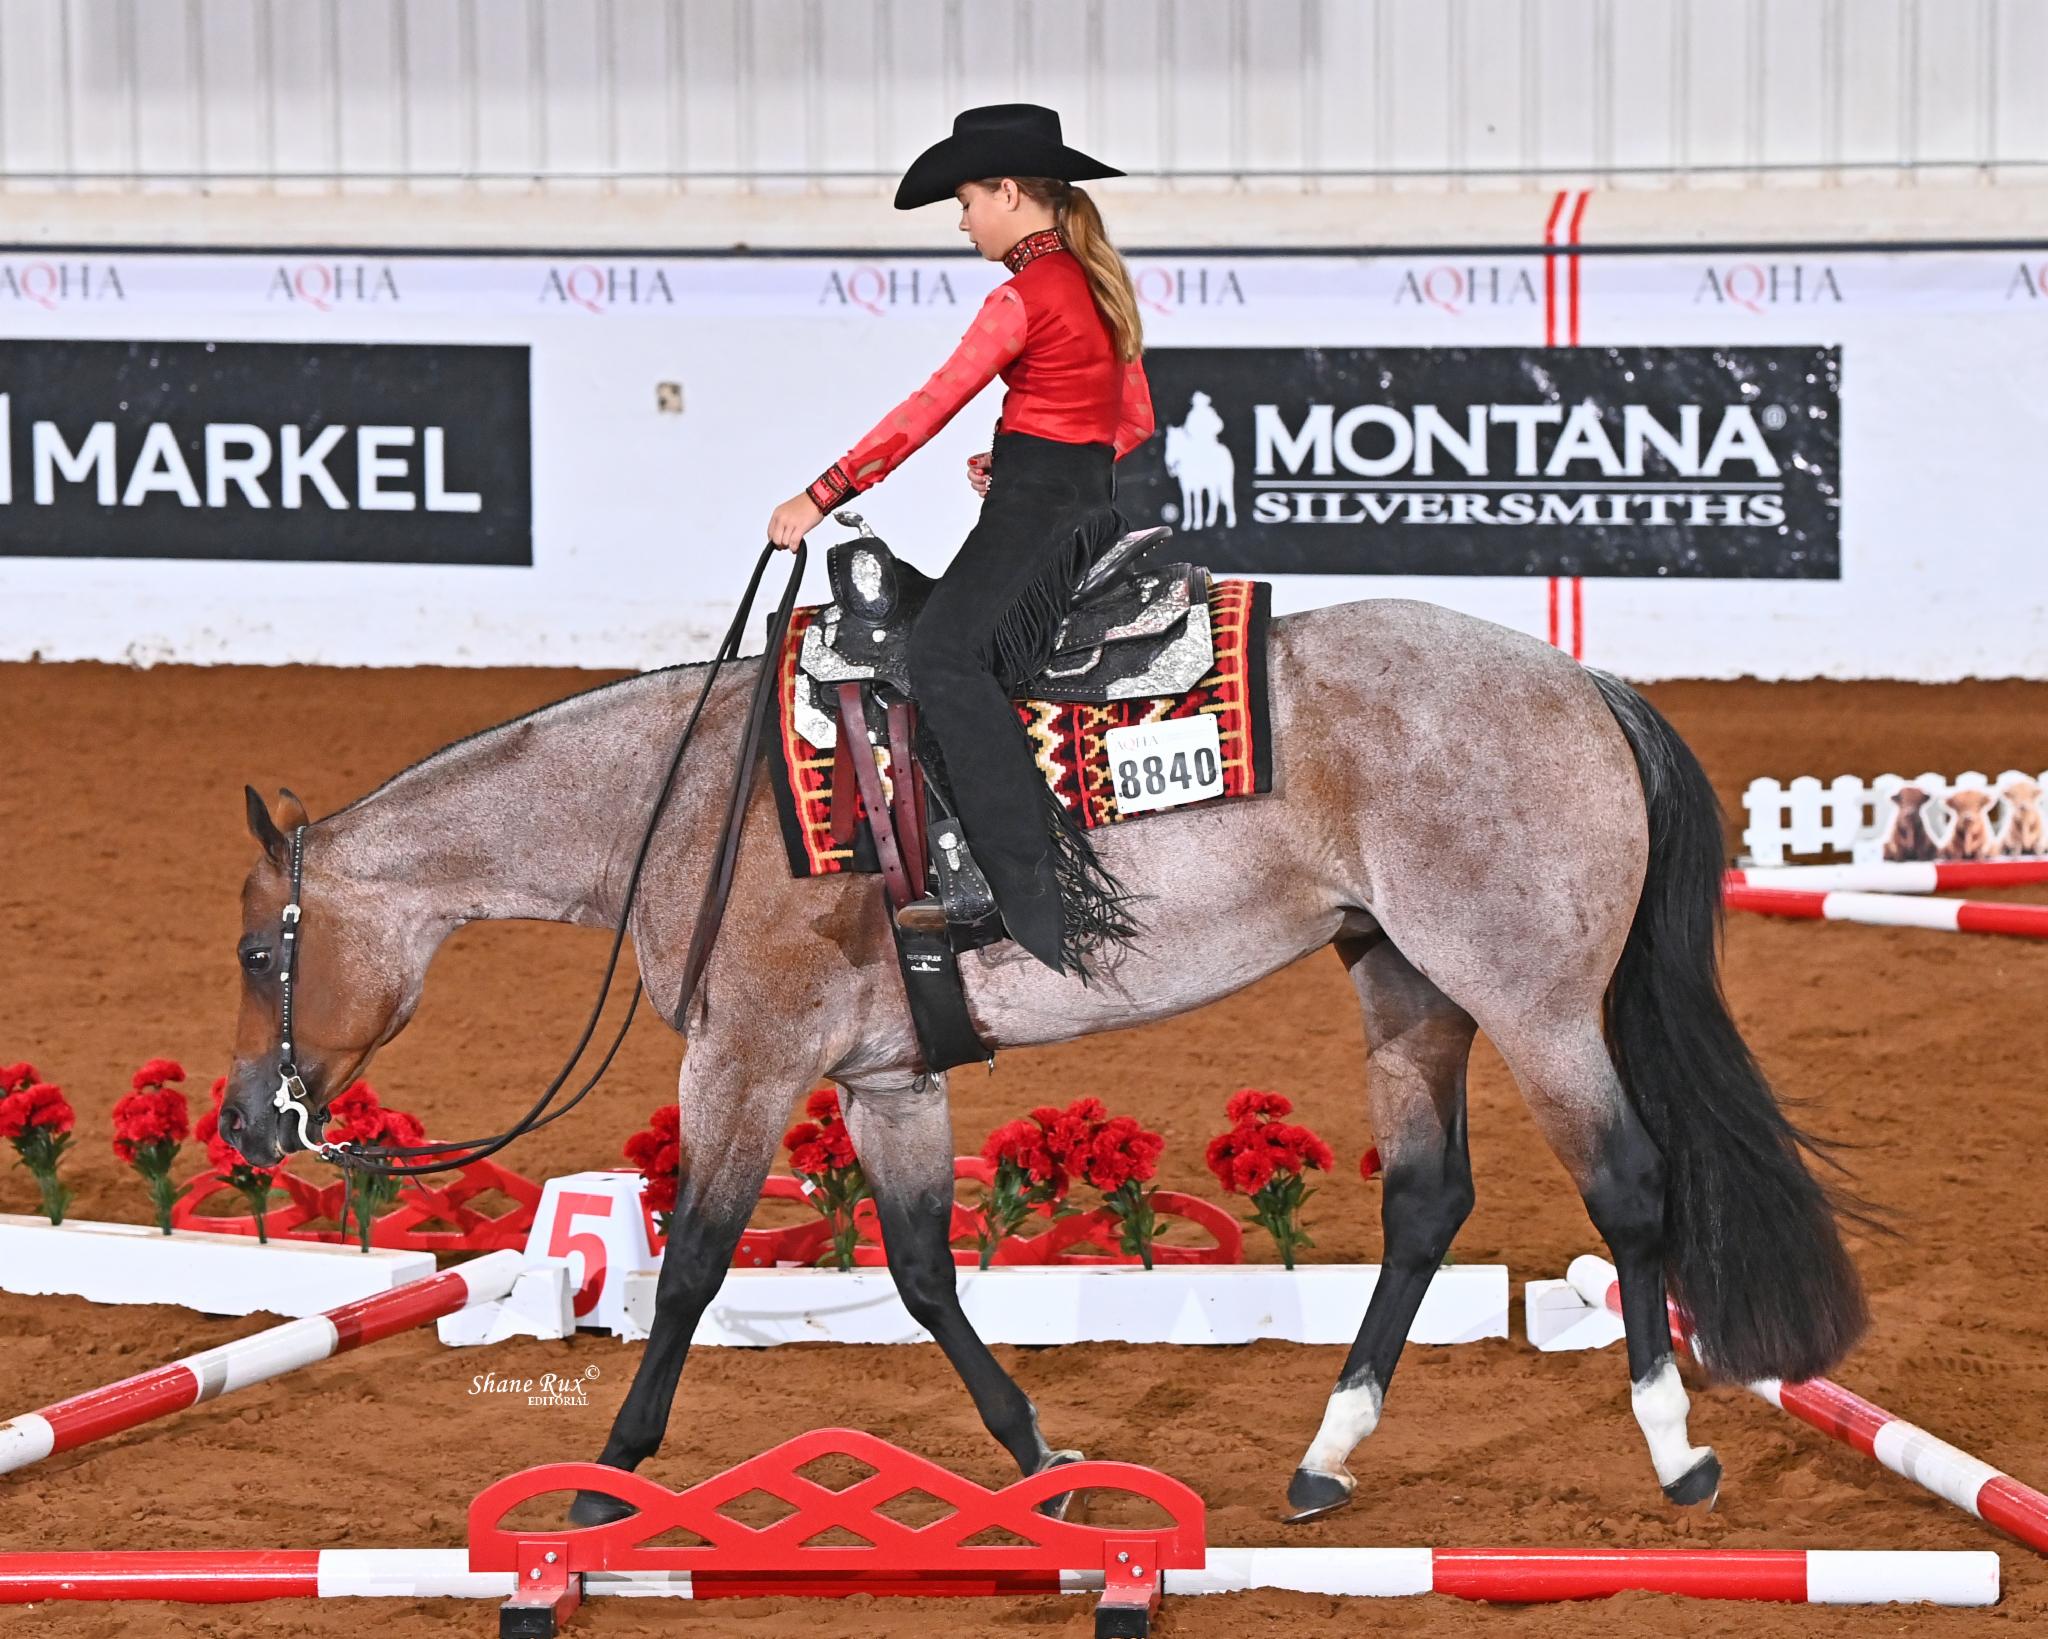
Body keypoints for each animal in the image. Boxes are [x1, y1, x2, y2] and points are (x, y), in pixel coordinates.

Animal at [219, 594, 1868, 1524]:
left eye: (254, 955)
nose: (247, 1120)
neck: (687, 806)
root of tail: (1587, 686)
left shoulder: (746, 1064)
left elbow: (686, 1270)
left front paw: (603, 1477)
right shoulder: (885, 1082)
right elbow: (921, 1271)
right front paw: (1035, 1462)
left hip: (1532, 1001)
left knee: (1631, 1191)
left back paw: (1674, 1451)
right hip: (1408, 987)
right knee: (1424, 1205)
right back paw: (1325, 1458)